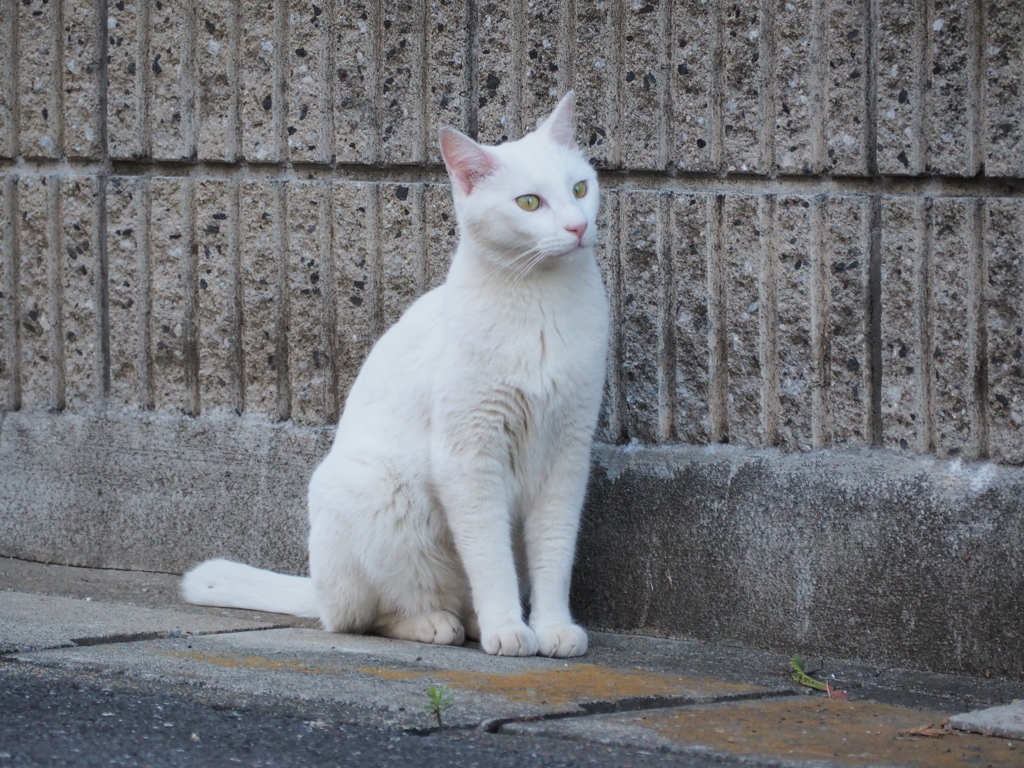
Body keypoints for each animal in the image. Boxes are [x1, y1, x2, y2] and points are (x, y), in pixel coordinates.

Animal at [181, 93, 606, 663]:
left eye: (580, 189)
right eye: (529, 203)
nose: (578, 227)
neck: (542, 303)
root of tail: (318, 590)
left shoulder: (567, 455)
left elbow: (554, 554)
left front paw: (553, 627)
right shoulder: (469, 457)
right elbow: (489, 557)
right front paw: (508, 630)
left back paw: (474, 621)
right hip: (375, 494)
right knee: (365, 617)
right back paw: (438, 623)